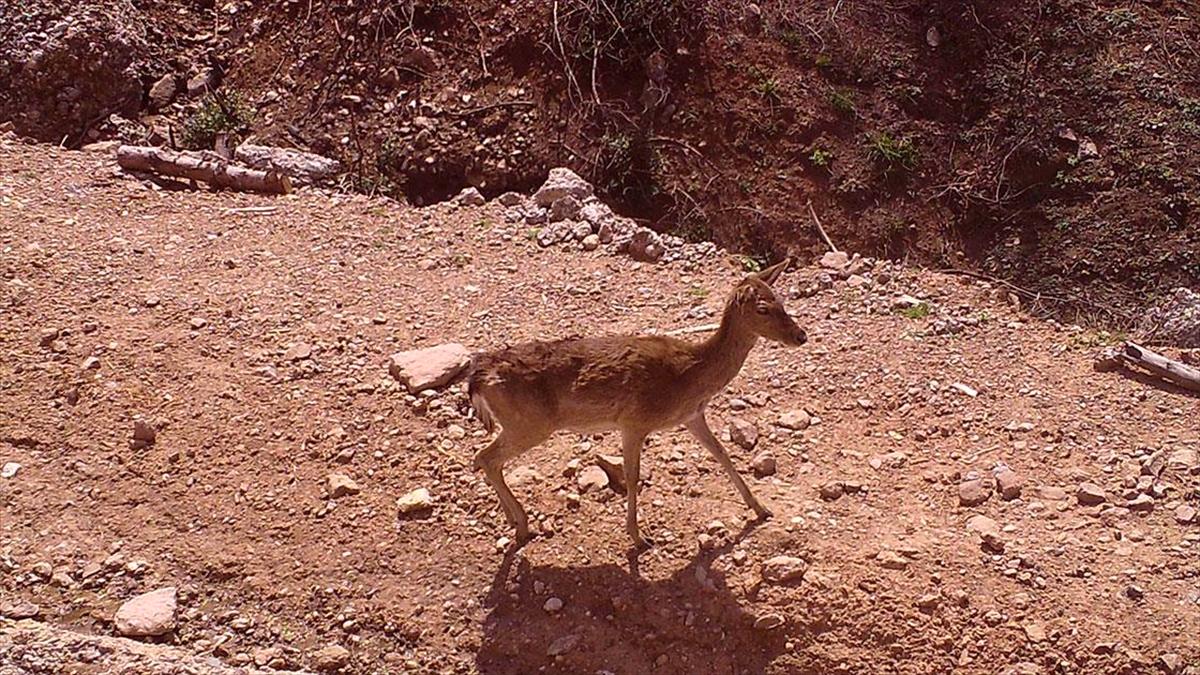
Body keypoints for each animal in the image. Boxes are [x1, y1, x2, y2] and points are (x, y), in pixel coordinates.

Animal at [468, 257, 806, 547]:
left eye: (782, 301)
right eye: (762, 308)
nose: (801, 336)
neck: (691, 373)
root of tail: (478, 378)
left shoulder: (692, 416)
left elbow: (722, 454)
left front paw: (761, 509)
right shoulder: (634, 421)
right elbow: (632, 476)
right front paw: (638, 537)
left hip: (521, 424)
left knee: (484, 459)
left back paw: (514, 522)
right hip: (529, 422)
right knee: (485, 457)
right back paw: (523, 525)